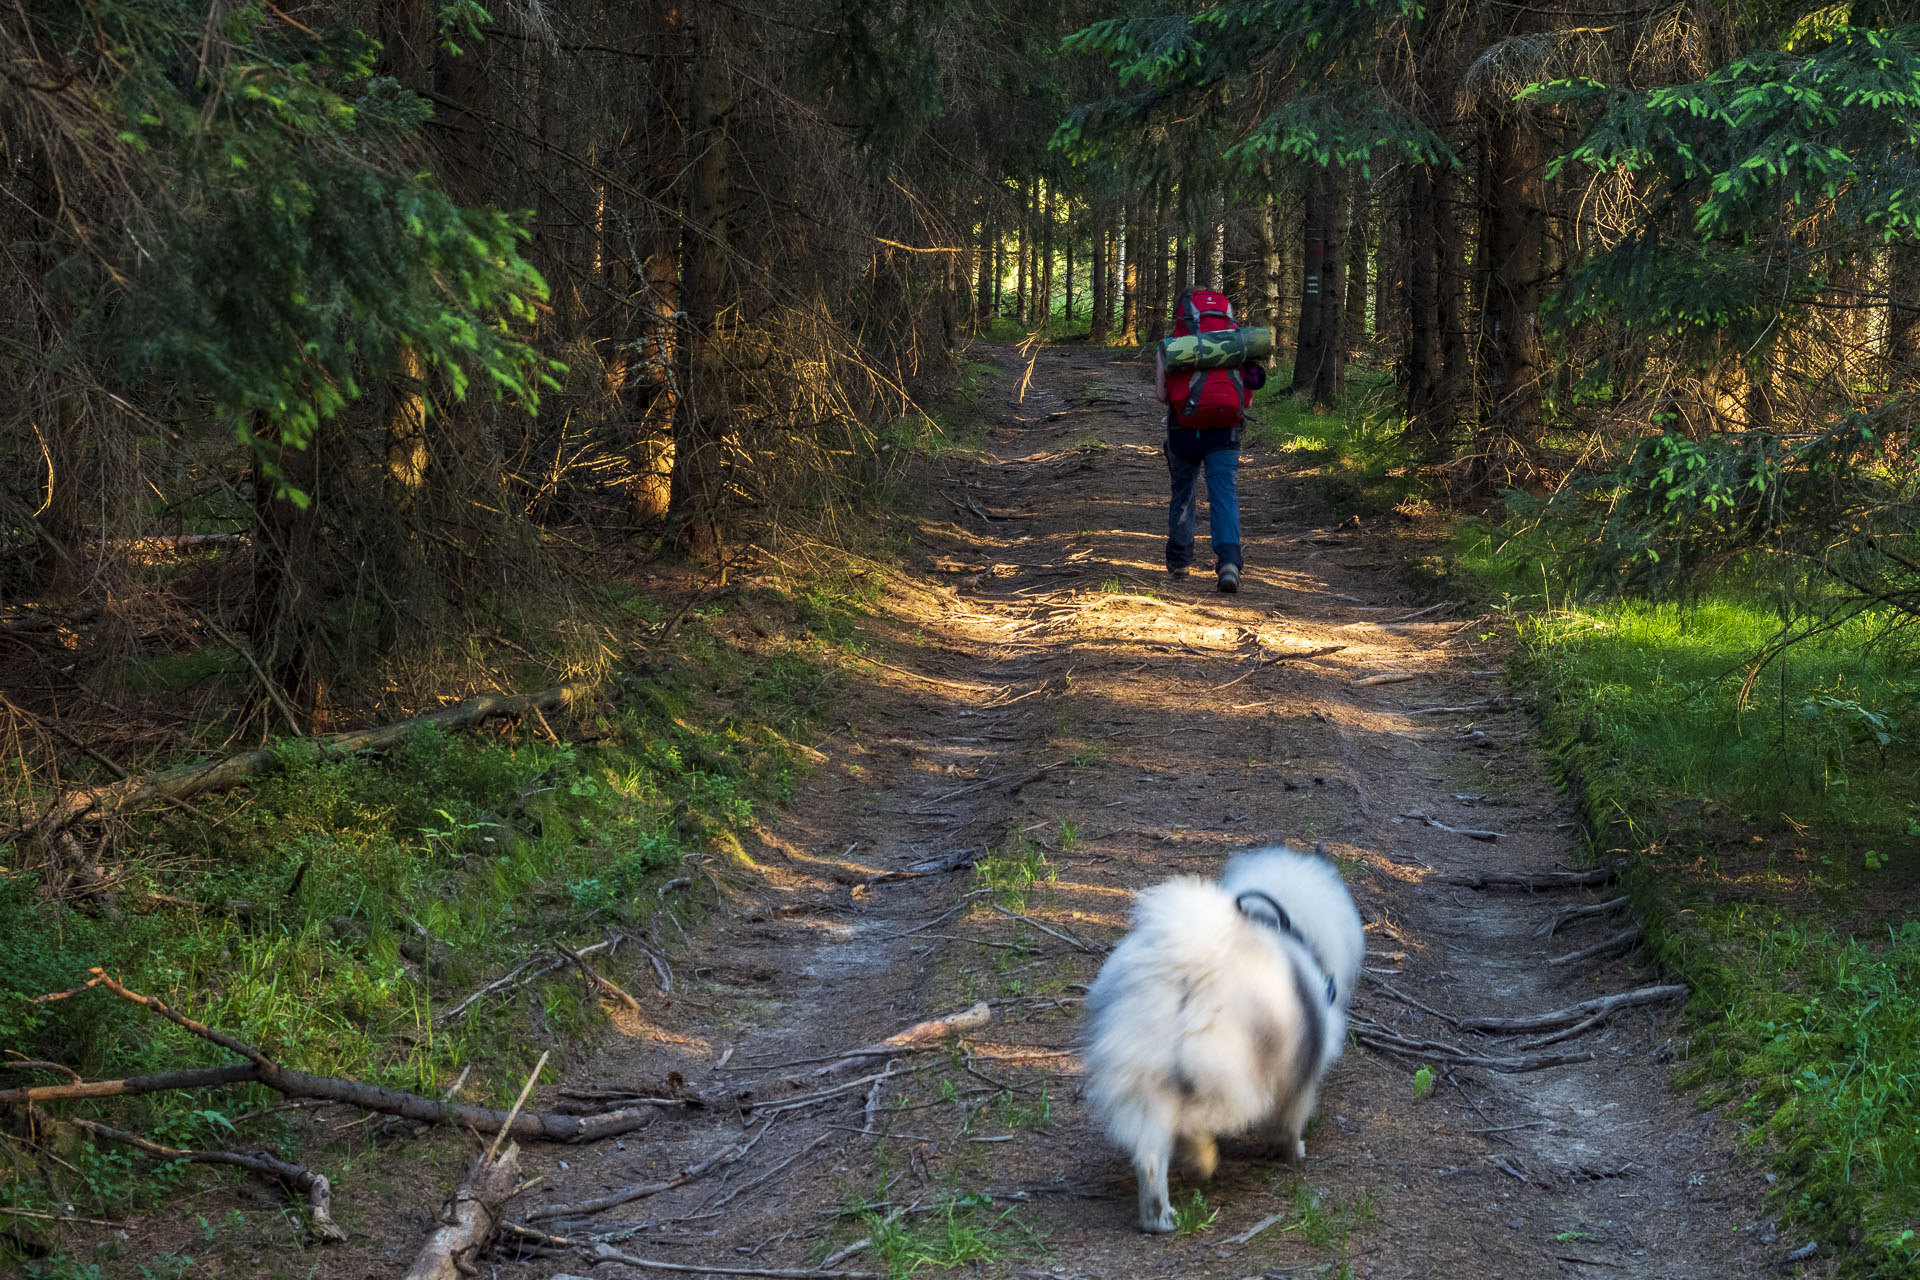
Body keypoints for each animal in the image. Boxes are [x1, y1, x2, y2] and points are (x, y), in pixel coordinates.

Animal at [1082, 844, 1367, 1235]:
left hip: (1145, 1080)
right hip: (1233, 1077)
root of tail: (1188, 971)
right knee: (1197, 1123)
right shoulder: (1301, 1078)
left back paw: (1160, 1217)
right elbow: (1290, 1121)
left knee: (1151, 1156)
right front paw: (1292, 1152)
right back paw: (1202, 1160)